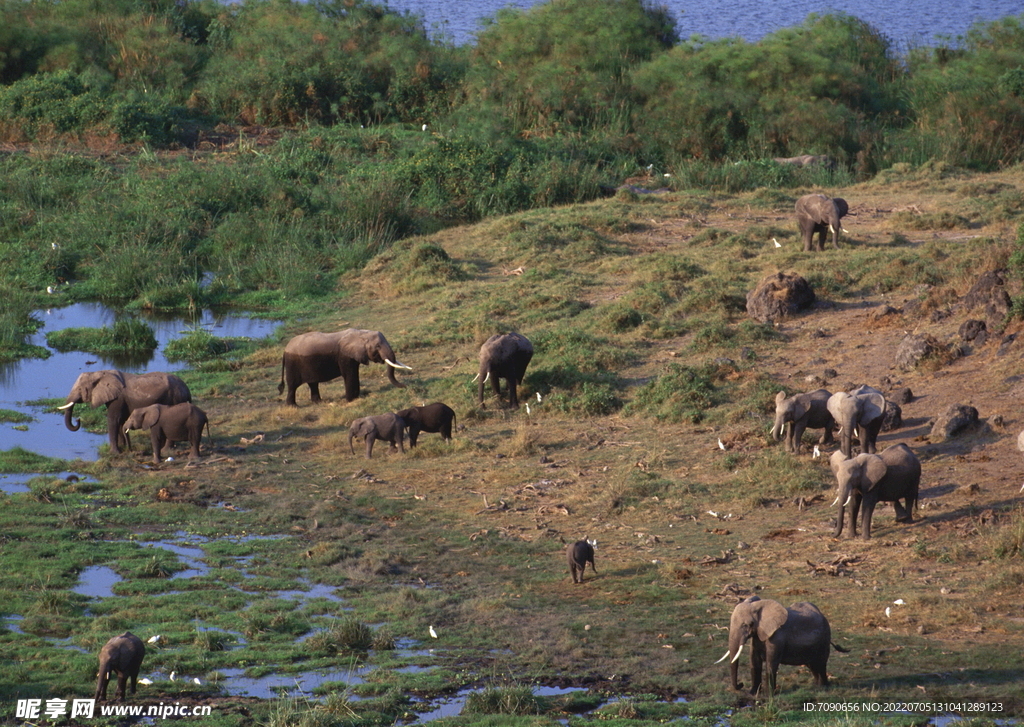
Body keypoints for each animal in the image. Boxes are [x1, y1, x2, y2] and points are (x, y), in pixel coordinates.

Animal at [280, 329, 411, 407]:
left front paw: (357, 398)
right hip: (293, 363)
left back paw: (319, 402)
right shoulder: (344, 356)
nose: (406, 387)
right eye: (378, 346)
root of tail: (285, 349)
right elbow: (349, 375)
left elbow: (355, 374)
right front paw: (351, 400)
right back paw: (292, 406)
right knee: (293, 385)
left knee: (313, 383)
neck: (361, 333)